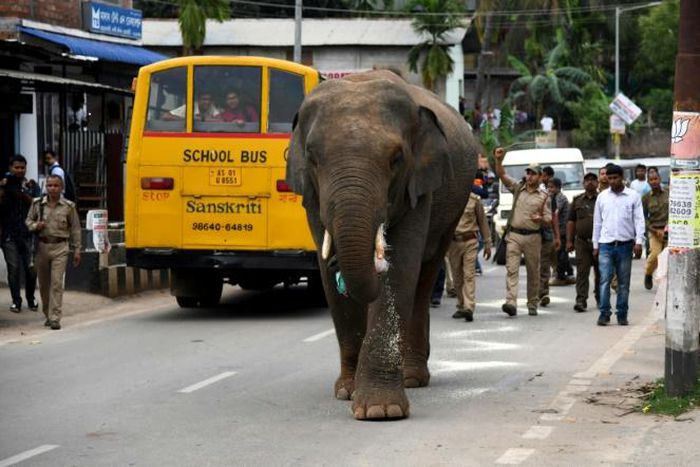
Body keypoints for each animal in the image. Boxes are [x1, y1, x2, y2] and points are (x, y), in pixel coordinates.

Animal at [286, 70, 479, 420]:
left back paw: (413, 377)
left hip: (453, 207)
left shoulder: (419, 186)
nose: (339, 265)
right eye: (312, 158)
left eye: (396, 159)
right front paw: (347, 392)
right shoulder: (311, 199)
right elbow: (327, 276)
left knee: (424, 277)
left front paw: (380, 411)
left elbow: (400, 268)